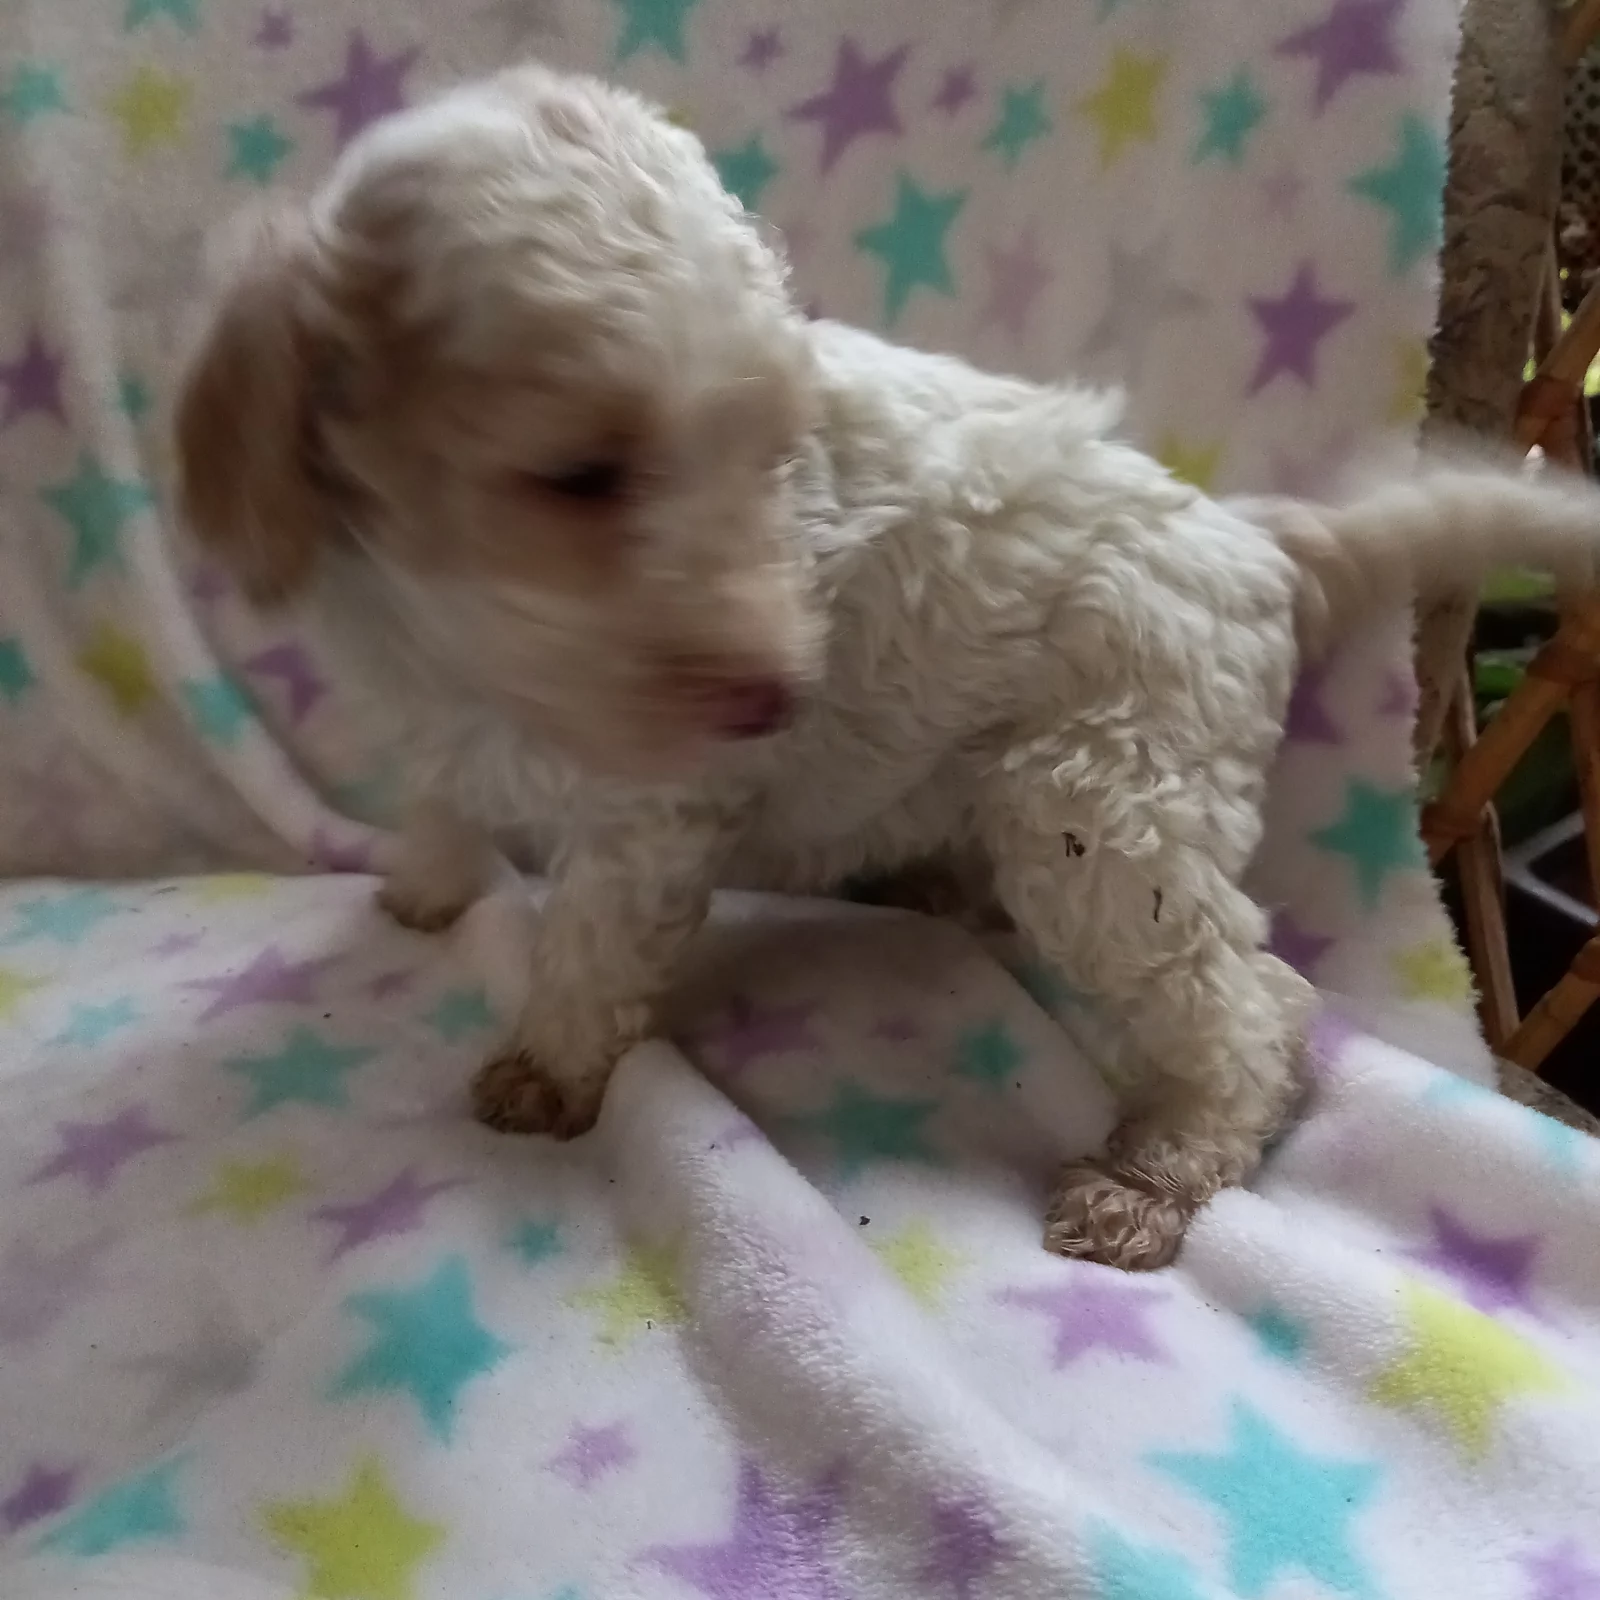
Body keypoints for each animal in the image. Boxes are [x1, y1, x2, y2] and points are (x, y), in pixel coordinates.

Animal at [173, 62, 1600, 1269]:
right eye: (576, 473)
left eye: (769, 449)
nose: (775, 694)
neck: (463, 633)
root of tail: (1247, 536)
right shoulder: (431, 692)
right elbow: (439, 791)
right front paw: (425, 883)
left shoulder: (652, 814)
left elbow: (587, 941)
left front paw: (548, 1069)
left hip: (1104, 805)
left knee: (1251, 1005)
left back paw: (1153, 1173)